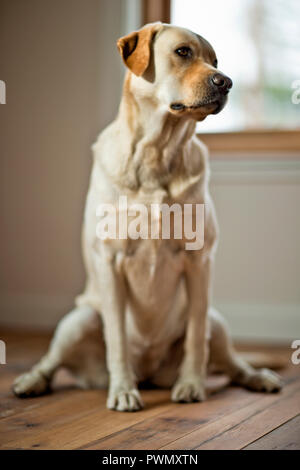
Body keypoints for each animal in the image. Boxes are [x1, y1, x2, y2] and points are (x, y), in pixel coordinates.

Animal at [12, 23, 282, 412]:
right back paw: (32, 381)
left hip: (216, 321)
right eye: (183, 52)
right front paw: (123, 390)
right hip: (77, 320)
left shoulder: (200, 262)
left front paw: (192, 385)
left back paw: (257, 377)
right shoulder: (110, 261)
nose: (227, 82)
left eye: (215, 61)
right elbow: (117, 339)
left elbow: (196, 338)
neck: (157, 152)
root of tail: (150, 372)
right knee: (51, 361)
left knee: (231, 362)